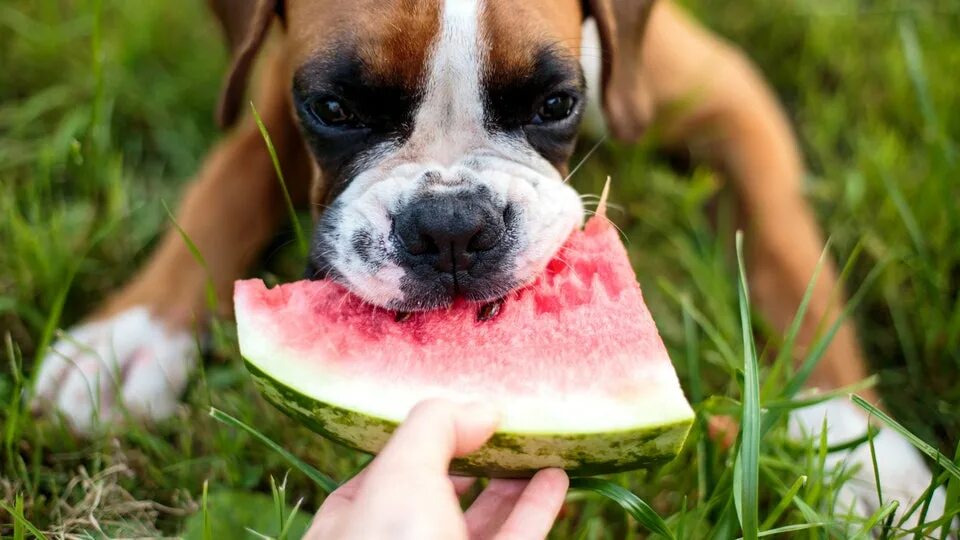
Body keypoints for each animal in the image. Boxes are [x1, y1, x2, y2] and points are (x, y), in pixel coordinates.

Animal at [33, 0, 948, 528]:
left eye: (557, 103)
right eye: (331, 108)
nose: (449, 228)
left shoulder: (726, 95)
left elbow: (794, 258)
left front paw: (856, 440)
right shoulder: (273, 85)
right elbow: (224, 185)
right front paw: (127, 338)